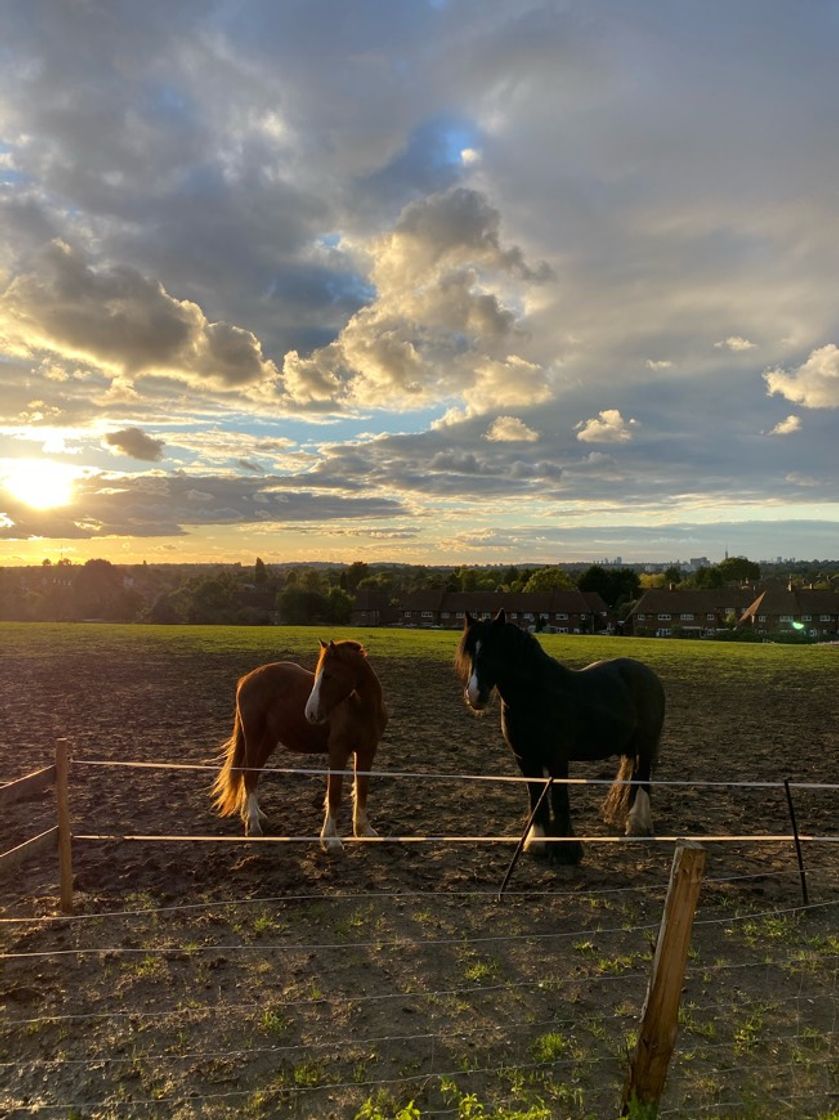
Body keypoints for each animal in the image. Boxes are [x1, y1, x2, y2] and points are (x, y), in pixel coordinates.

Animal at [213, 645, 387, 851]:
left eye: (328, 675)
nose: (310, 712)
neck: (361, 708)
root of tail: (245, 679)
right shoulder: (339, 751)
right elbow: (334, 794)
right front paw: (330, 839)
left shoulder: (367, 750)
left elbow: (362, 789)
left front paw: (364, 830)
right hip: (254, 736)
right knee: (248, 774)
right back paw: (253, 824)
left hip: (268, 740)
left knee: (250, 774)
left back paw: (253, 816)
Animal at [454, 613, 663, 864]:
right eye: (470, 653)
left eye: (494, 650)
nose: (475, 695)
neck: (537, 696)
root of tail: (648, 674)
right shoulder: (525, 759)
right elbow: (536, 797)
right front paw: (537, 843)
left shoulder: (557, 759)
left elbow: (560, 799)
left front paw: (566, 851)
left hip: (645, 746)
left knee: (643, 778)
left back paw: (637, 825)